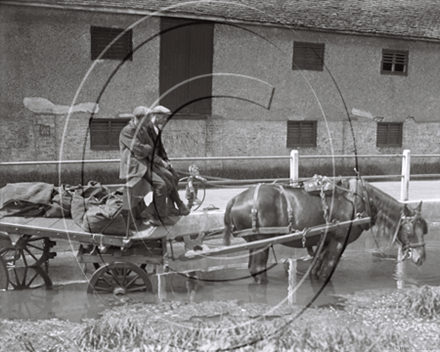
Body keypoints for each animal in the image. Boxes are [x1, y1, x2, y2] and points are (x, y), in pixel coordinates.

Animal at [222, 177, 428, 284]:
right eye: (411, 230)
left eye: (424, 229)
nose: (421, 258)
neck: (360, 201)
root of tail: (236, 199)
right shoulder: (338, 241)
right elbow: (326, 270)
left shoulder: (326, 240)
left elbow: (316, 269)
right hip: (260, 242)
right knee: (257, 269)